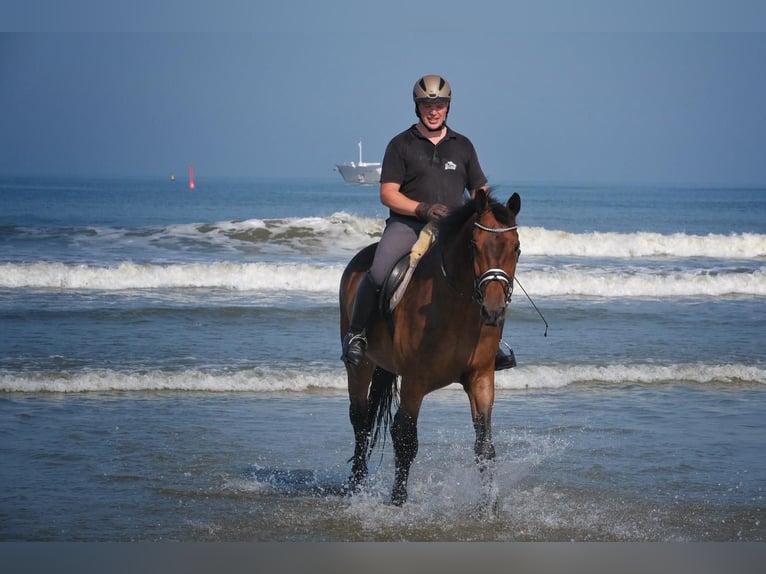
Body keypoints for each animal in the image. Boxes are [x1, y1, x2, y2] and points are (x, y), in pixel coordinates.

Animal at [340, 190, 520, 508]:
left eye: (516, 247)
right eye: (474, 246)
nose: (494, 311)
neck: (458, 307)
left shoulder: (481, 377)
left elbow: (484, 446)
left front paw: (489, 505)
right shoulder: (415, 381)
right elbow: (405, 438)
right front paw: (398, 500)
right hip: (361, 366)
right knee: (360, 420)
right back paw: (356, 485)